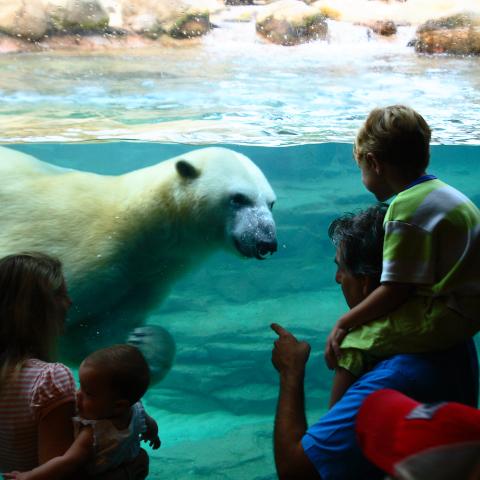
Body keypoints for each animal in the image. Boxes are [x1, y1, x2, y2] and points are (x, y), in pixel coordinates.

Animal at [0, 145, 278, 378]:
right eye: (238, 198)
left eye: (271, 203)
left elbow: (86, 339)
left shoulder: (143, 281)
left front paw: (147, 343)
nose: (266, 241)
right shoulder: (76, 250)